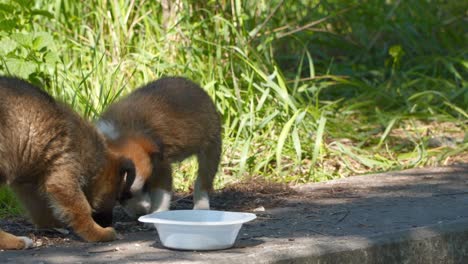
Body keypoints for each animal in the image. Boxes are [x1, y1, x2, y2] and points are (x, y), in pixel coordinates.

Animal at [0, 77, 135, 250]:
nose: (107, 222)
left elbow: (40, 208)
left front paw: (53, 225)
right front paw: (97, 232)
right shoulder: (64, 175)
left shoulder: (29, 183)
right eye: (116, 196)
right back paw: (16, 242)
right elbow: (81, 208)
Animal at [96, 76, 221, 217]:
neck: (119, 133)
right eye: (120, 197)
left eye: (147, 185)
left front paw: (156, 214)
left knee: (203, 181)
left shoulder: (161, 166)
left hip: (211, 148)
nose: (141, 213)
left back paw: (201, 207)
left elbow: (161, 194)